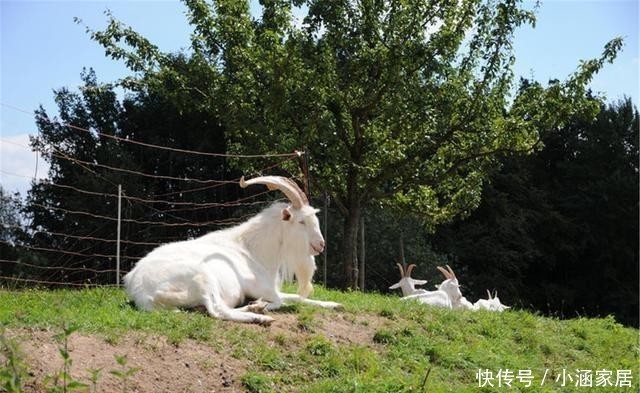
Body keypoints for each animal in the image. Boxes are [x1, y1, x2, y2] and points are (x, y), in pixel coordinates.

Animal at [126, 176, 344, 324]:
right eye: (301, 221)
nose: (321, 245)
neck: (252, 251)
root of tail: (141, 291)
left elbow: (298, 298)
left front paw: (335, 304)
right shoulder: (257, 287)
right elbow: (280, 301)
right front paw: (260, 306)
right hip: (203, 278)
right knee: (218, 311)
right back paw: (259, 316)